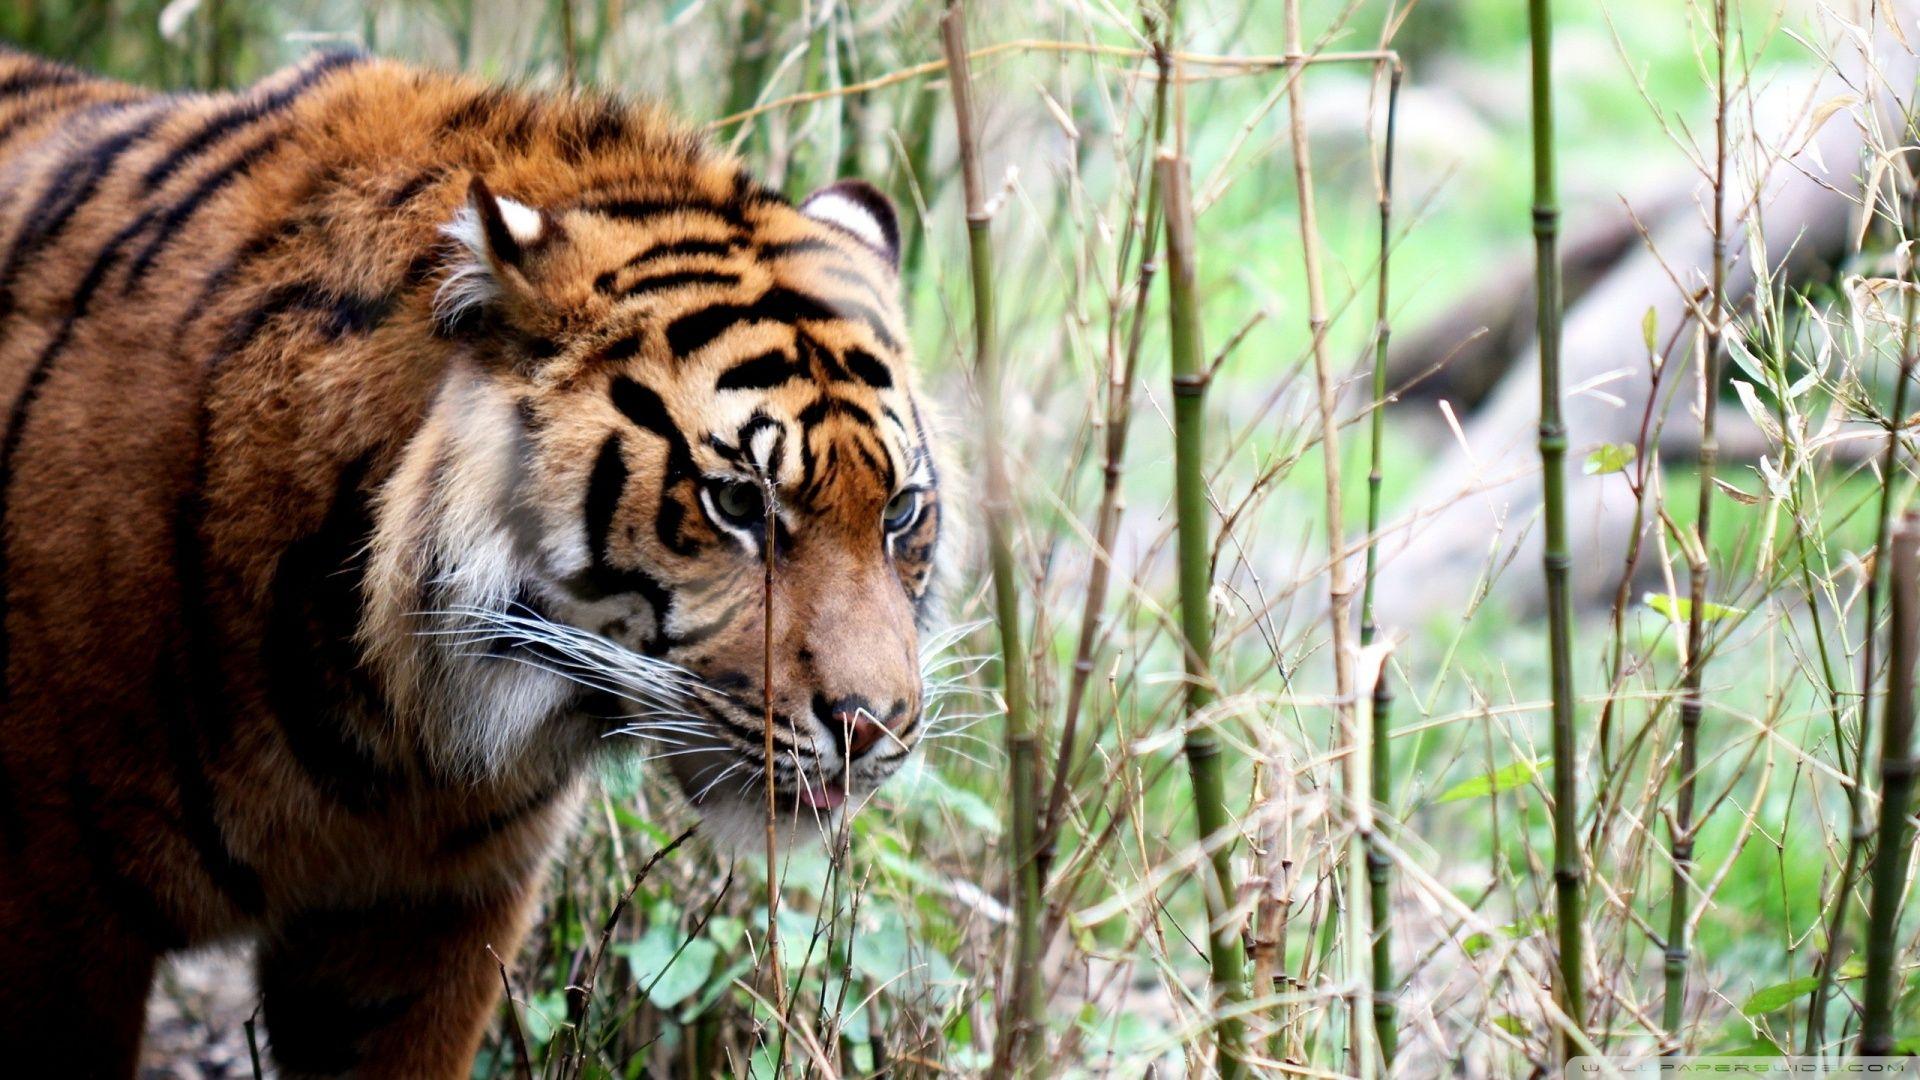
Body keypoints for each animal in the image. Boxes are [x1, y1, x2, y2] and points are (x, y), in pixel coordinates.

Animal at [0, 43, 943, 1078]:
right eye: (735, 502)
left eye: (900, 513)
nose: (874, 727)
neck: (387, 731)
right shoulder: (56, 911)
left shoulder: (424, 923)